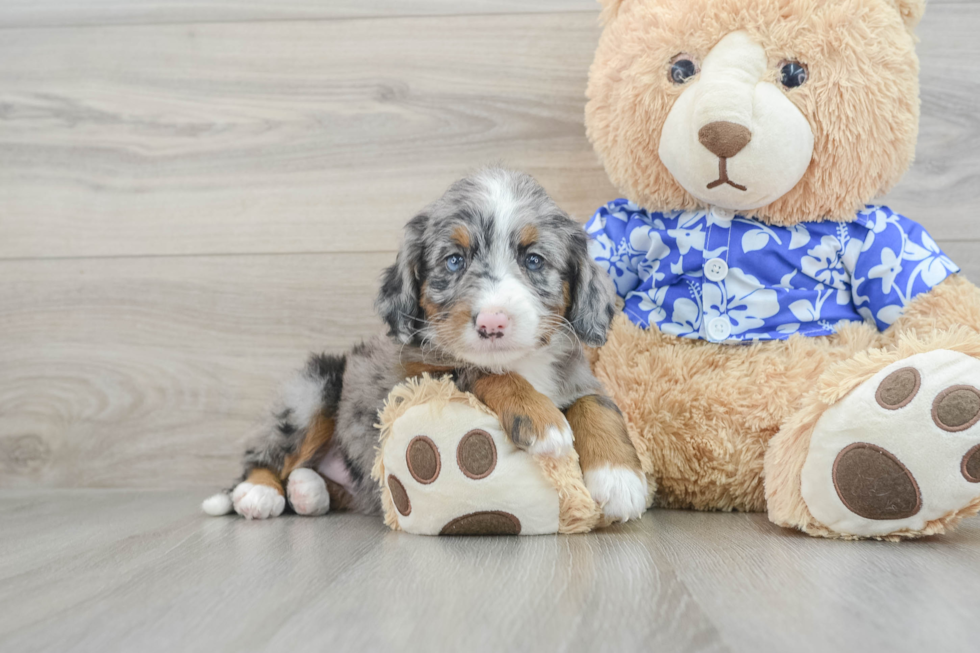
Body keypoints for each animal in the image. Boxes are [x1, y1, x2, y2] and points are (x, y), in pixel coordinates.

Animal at [205, 167, 652, 520]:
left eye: (534, 260)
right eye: (454, 261)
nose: (492, 321)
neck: (522, 363)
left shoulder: (578, 375)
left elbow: (599, 405)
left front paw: (621, 479)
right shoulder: (411, 380)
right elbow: (477, 370)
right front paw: (540, 418)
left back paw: (307, 491)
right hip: (314, 387)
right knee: (265, 455)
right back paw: (259, 493)